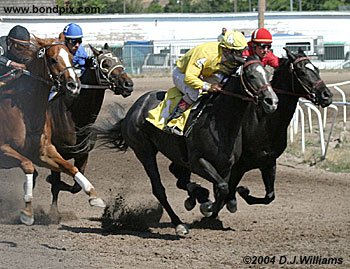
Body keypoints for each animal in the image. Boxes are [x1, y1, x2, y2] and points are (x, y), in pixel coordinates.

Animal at [0, 36, 105, 224]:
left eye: (72, 58)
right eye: (53, 60)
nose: (73, 86)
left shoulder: (44, 152)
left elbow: (70, 168)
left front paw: (93, 195)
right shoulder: (4, 150)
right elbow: (28, 166)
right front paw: (27, 211)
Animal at [46, 43, 134, 214]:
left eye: (119, 60)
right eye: (105, 64)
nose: (128, 84)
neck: (73, 116)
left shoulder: (83, 154)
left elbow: (75, 186)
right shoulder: (54, 153)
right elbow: (55, 184)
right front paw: (53, 212)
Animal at [95, 57, 278, 234]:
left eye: (268, 74)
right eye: (251, 76)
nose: (272, 101)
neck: (220, 121)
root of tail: (132, 110)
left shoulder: (226, 166)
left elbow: (222, 190)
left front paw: (207, 202)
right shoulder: (198, 162)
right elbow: (223, 187)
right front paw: (206, 206)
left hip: (176, 153)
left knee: (178, 174)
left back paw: (196, 194)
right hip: (144, 151)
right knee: (159, 189)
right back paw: (179, 223)